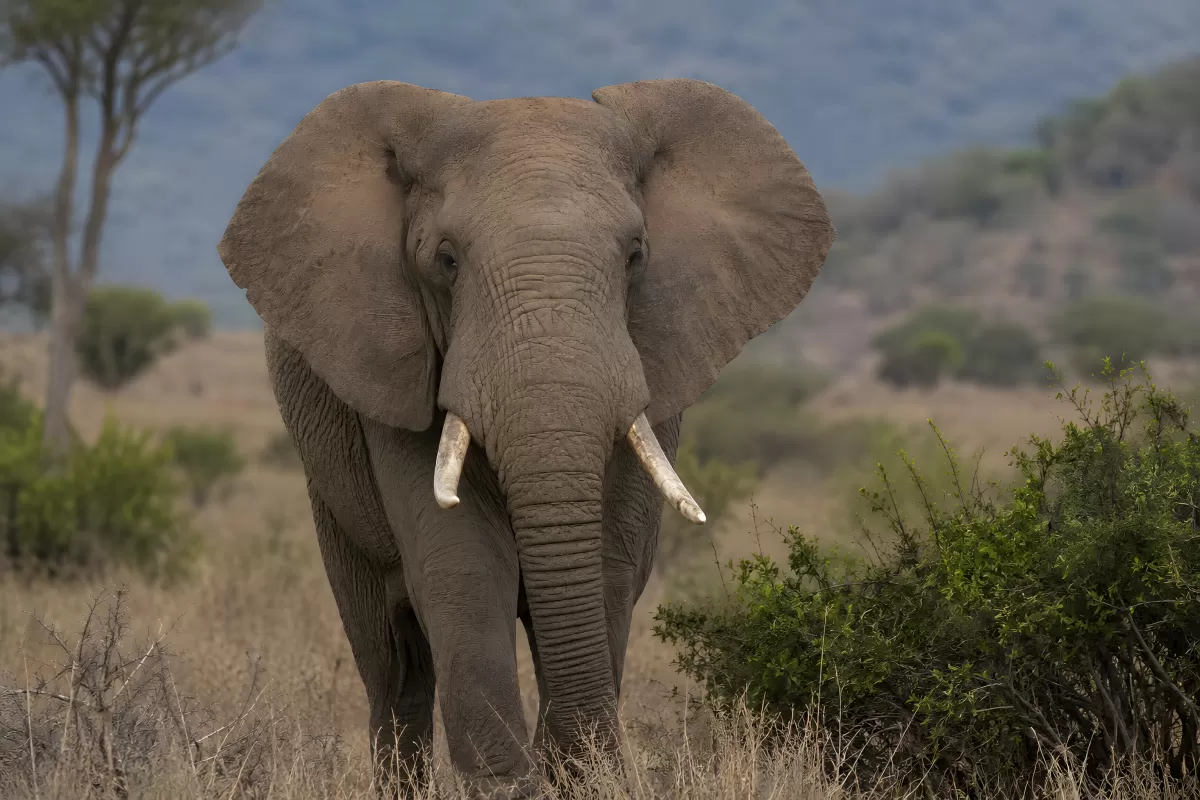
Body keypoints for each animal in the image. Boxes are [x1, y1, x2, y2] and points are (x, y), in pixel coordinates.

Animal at [217, 77, 833, 796]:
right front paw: (510, 782)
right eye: (445, 260)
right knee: (391, 660)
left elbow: (607, 563)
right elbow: (462, 564)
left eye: (636, 256)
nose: (592, 758)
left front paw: (579, 772)